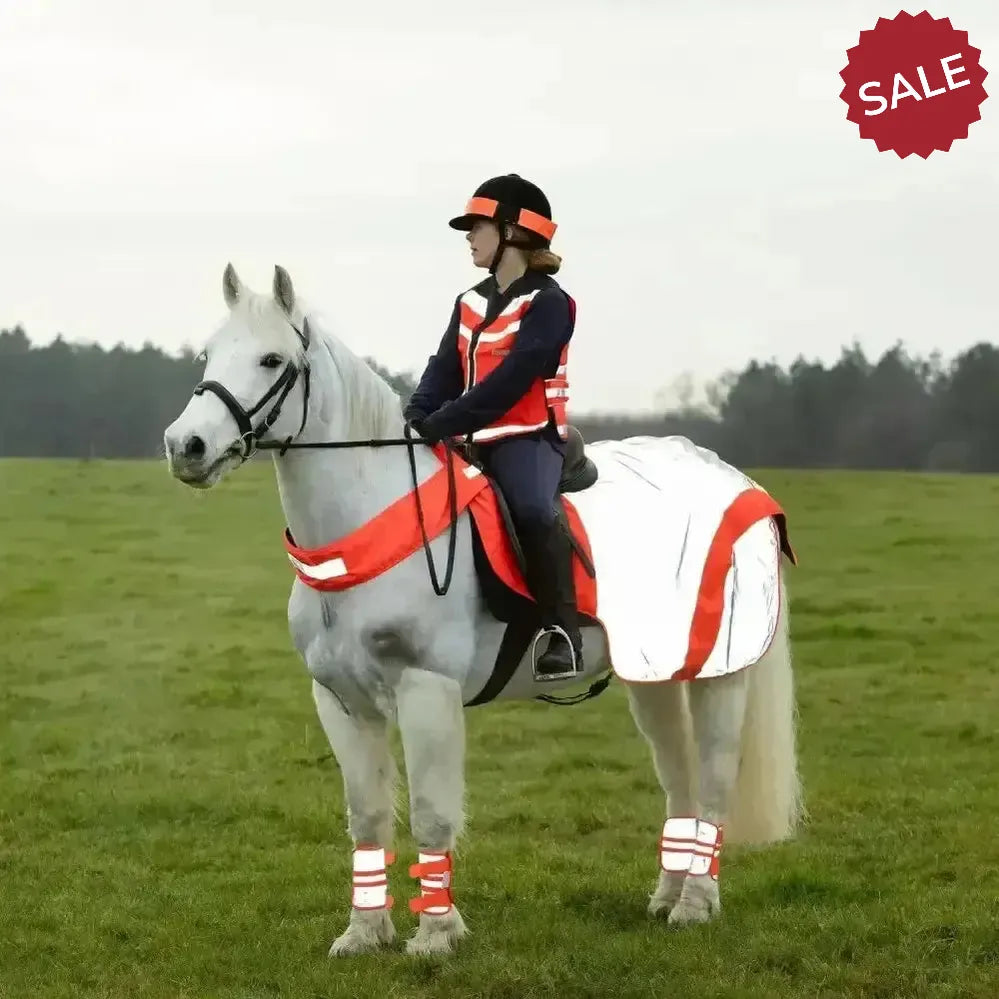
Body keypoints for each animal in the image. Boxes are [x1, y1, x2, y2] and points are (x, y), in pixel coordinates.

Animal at [162, 263, 803, 958]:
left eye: (272, 359)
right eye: (208, 354)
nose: (185, 446)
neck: (368, 523)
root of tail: (734, 479)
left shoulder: (427, 691)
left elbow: (432, 815)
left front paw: (436, 936)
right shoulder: (340, 701)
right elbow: (367, 817)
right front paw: (363, 933)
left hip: (719, 673)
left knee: (712, 778)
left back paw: (695, 905)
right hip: (654, 676)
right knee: (678, 776)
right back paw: (666, 897)